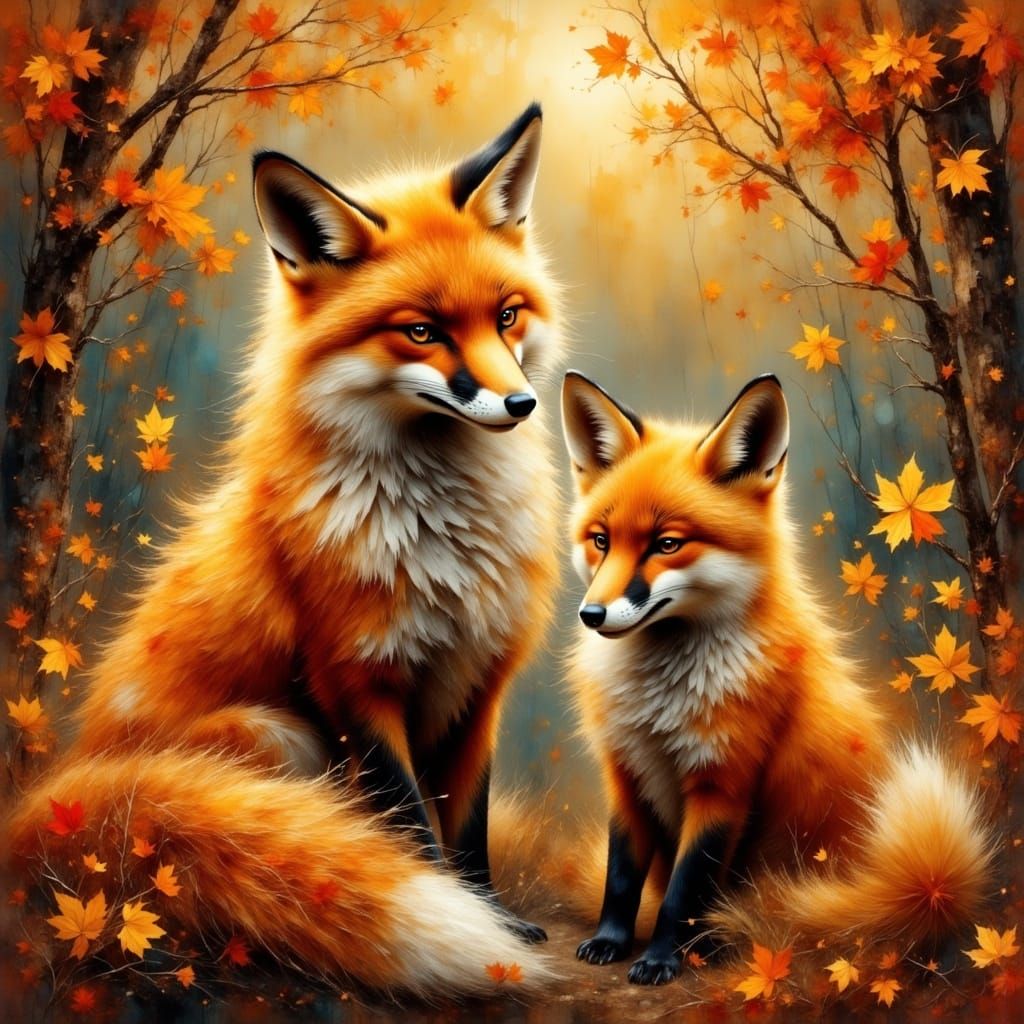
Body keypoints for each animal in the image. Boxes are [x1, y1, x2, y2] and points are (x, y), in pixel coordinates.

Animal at [8, 105, 563, 998]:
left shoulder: (480, 683)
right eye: (422, 332)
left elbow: (467, 829)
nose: (520, 404)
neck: (441, 545)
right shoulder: (354, 682)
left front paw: (496, 918)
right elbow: (413, 822)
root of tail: (54, 793)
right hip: (273, 735)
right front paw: (467, 917)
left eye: (507, 316)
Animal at [559, 370, 994, 986]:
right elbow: (620, 877)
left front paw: (663, 958)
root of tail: (929, 898)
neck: (662, 702)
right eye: (601, 540)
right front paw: (610, 942)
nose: (591, 616)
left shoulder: (724, 783)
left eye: (667, 544)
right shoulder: (625, 774)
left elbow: (683, 893)